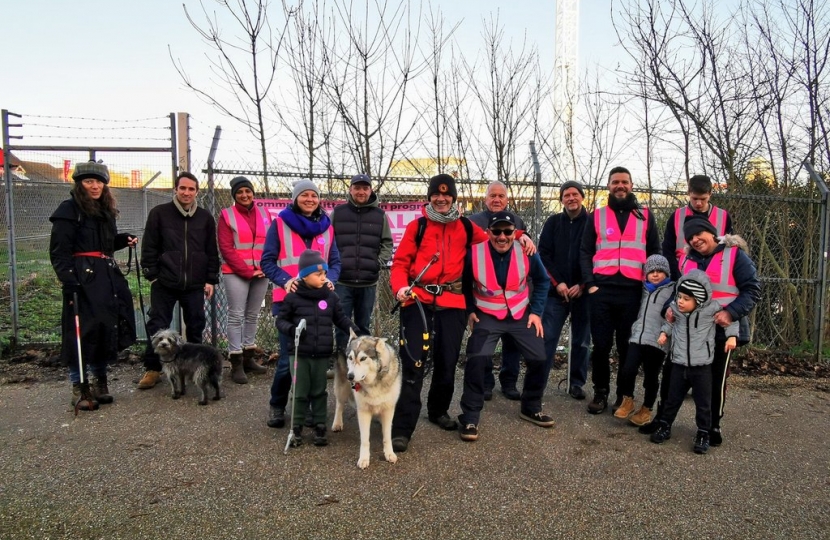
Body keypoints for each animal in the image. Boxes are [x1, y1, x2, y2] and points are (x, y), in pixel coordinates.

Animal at [334, 330, 406, 468]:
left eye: (363, 358)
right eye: (350, 358)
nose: (350, 376)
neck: (374, 382)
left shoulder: (388, 410)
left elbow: (387, 436)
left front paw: (389, 454)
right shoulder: (363, 411)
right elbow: (365, 439)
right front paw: (364, 458)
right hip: (343, 388)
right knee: (339, 404)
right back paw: (337, 423)